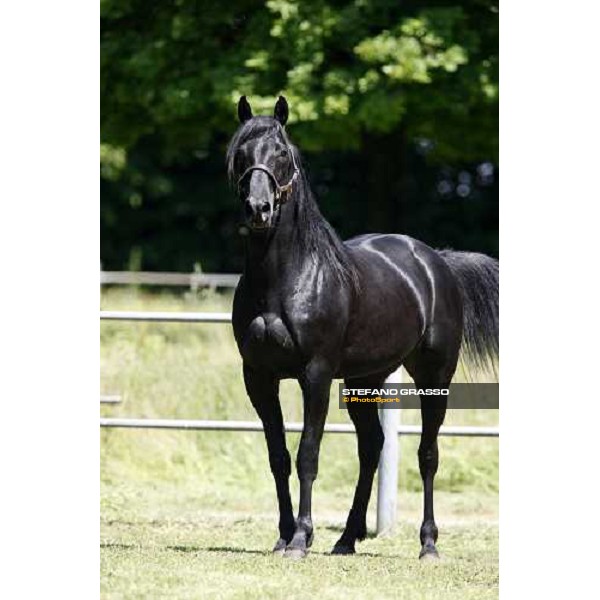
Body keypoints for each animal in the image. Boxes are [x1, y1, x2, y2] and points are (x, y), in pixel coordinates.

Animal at [226, 96, 496, 560]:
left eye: (282, 153)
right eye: (242, 153)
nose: (258, 209)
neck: (284, 279)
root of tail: (437, 261)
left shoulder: (315, 375)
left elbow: (308, 454)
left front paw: (301, 539)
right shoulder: (258, 377)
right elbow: (278, 456)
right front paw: (283, 536)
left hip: (434, 376)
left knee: (427, 453)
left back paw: (428, 544)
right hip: (363, 379)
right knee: (371, 448)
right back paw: (346, 539)